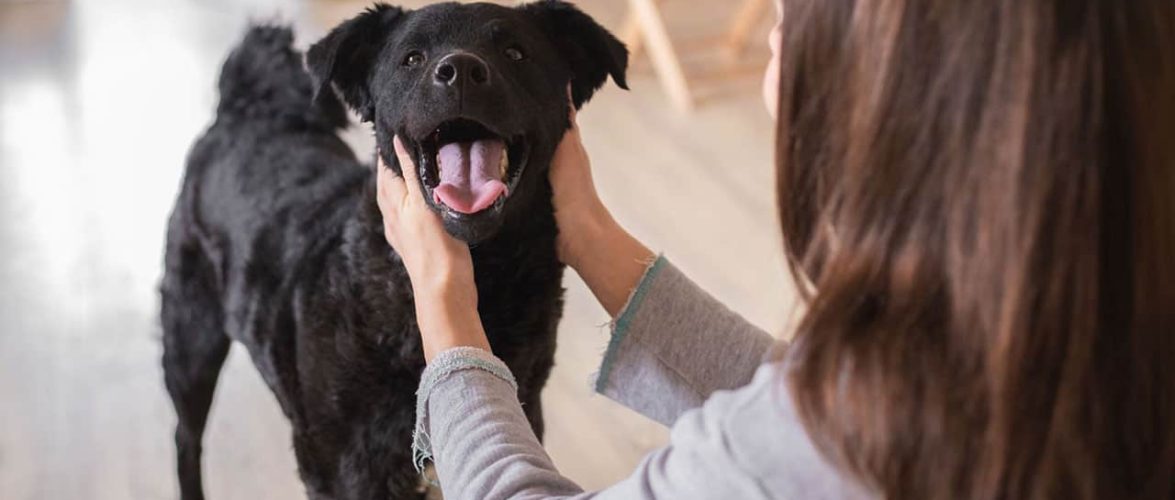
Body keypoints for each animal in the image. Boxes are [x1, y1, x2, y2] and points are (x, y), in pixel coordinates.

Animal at [160, 1, 629, 497]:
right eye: (412, 58)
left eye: (516, 53)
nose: (461, 71)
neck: (484, 277)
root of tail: (247, 106)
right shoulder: (338, 469)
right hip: (191, 342)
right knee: (186, 439)